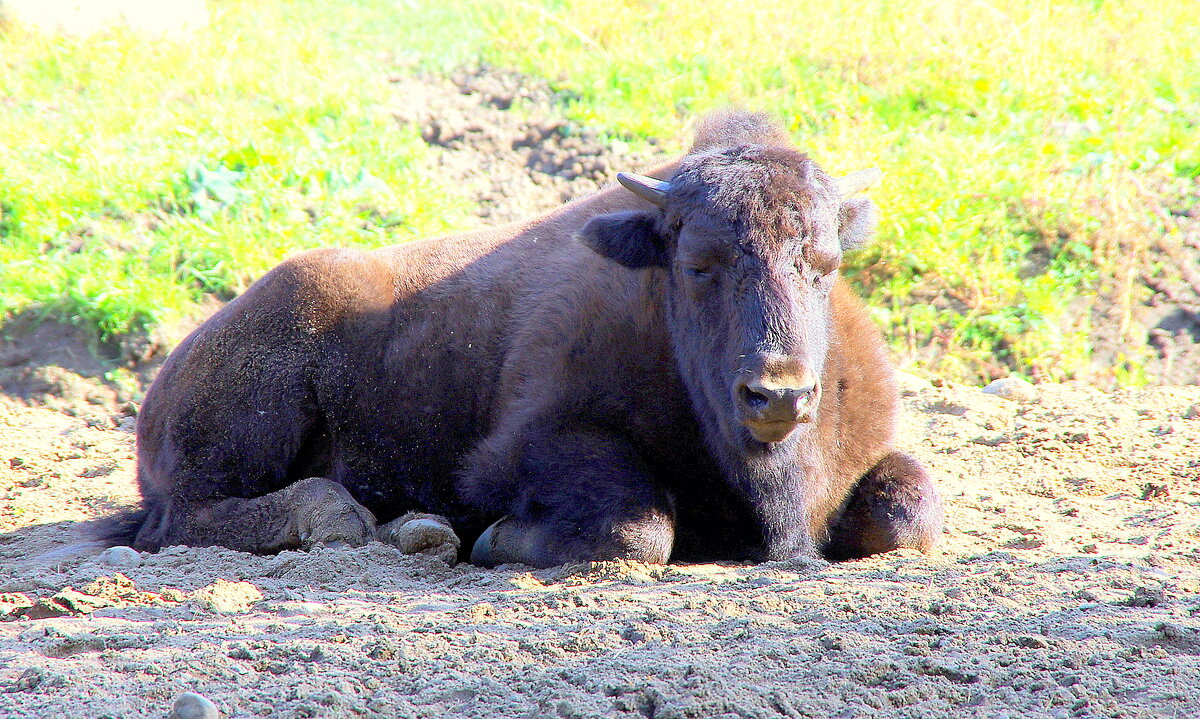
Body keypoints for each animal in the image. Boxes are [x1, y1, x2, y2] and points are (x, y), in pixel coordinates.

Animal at [112, 111, 940, 568]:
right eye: (697, 261)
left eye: (825, 265)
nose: (778, 393)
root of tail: (163, 381)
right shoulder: (524, 447)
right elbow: (635, 526)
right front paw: (492, 541)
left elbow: (910, 510)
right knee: (183, 518)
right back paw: (349, 521)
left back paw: (413, 529)